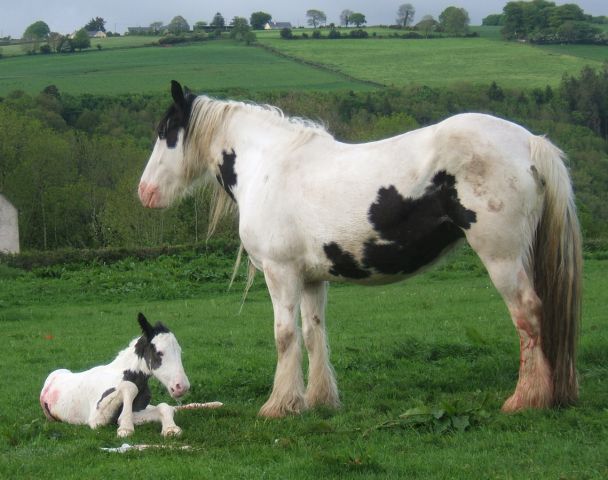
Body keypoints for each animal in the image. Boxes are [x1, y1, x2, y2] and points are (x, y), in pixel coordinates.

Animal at [39, 314, 190, 436]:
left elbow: (165, 407)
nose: (181, 387)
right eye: (159, 352)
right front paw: (125, 428)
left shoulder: (136, 411)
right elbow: (129, 387)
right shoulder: (97, 419)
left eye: (180, 351)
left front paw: (171, 429)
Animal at [138, 81, 580, 416]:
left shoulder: (281, 274)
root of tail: (527, 142)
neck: (268, 167)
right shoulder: (312, 279)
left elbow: (285, 335)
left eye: (166, 132)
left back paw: (526, 400)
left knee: (528, 315)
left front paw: (280, 406)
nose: (145, 192)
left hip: (502, 258)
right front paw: (319, 401)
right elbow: (314, 333)